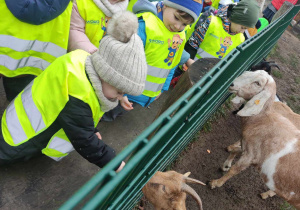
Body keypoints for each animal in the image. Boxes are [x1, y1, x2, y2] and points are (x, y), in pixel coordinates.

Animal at [209, 70, 300, 208]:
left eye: (258, 83)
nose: (232, 84)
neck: (263, 119)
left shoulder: (250, 156)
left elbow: (234, 170)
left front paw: (215, 183)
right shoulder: (251, 150)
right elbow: (235, 151)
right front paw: (225, 165)